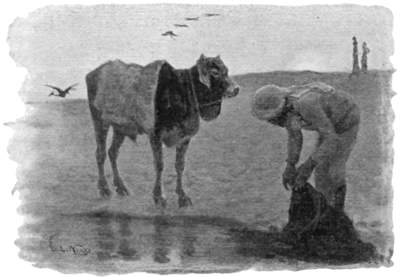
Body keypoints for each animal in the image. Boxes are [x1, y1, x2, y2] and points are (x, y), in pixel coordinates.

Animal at [86, 54, 239, 206]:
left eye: (226, 70)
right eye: (214, 72)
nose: (236, 88)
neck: (183, 92)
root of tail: (93, 73)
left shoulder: (184, 139)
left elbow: (180, 165)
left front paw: (182, 197)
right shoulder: (155, 135)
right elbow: (159, 165)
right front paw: (159, 197)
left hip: (120, 128)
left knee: (112, 152)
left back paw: (121, 188)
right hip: (100, 122)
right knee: (100, 154)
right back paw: (104, 189)